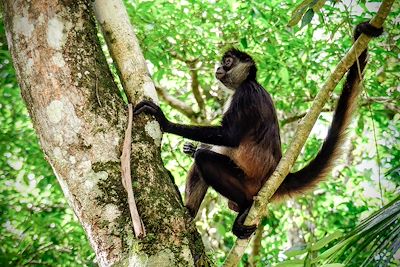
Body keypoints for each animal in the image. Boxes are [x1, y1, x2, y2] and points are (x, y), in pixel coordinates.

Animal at [133, 22, 382, 240]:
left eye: (228, 61)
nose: (219, 68)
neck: (249, 82)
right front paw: (189, 147)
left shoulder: (246, 94)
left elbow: (230, 137)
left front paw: (165, 122)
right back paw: (189, 211)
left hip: (249, 183)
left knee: (204, 159)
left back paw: (243, 206)